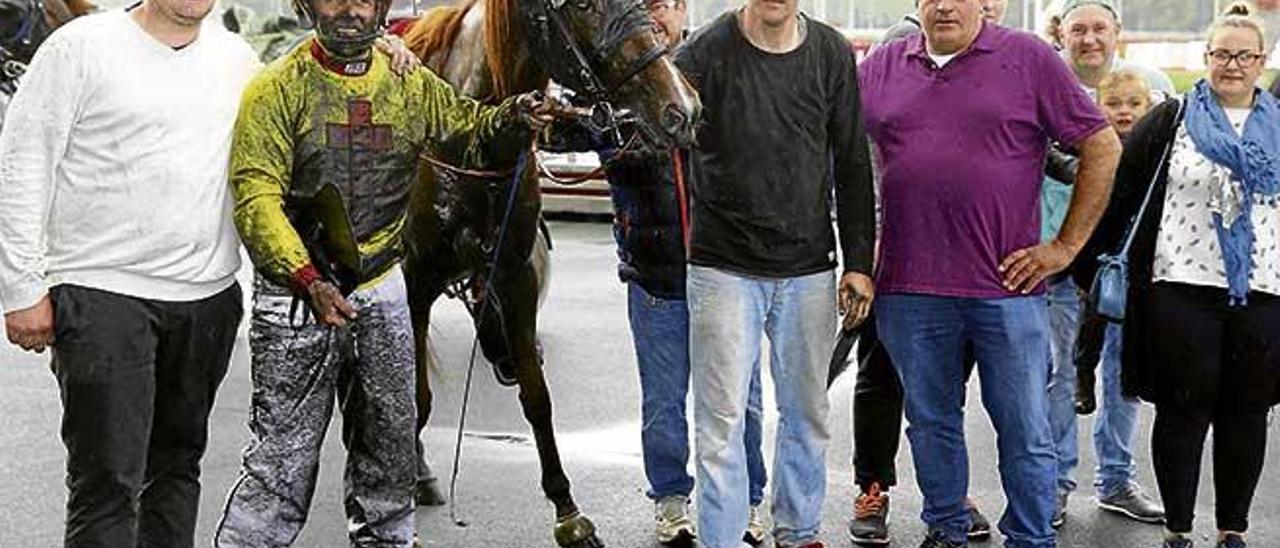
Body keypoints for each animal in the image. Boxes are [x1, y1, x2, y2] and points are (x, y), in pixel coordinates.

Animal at [399, 0, 701, 540]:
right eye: (581, 6)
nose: (681, 107)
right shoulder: (414, 284)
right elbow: (415, 395)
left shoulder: (515, 279)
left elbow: (537, 398)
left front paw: (567, 511)